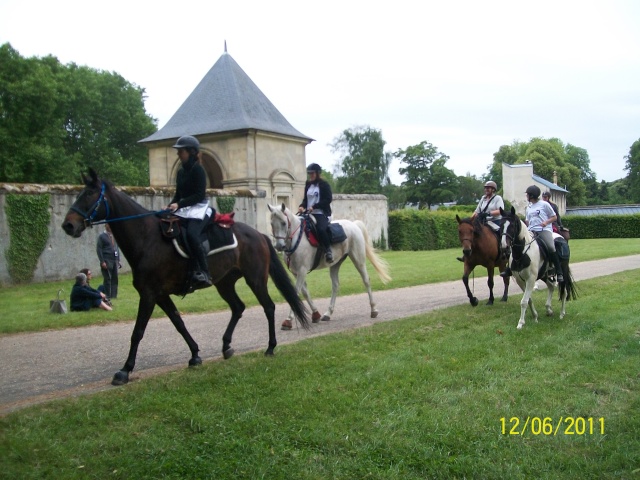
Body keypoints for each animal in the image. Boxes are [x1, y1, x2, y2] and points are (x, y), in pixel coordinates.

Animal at [62, 170, 310, 386]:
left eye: (90, 194)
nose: (68, 225)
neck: (146, 238)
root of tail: (259, 234)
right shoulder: (160, 295)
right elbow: (178, 323)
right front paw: (195, 355)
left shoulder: (149, 294)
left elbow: (138, 332)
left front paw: (125, 370)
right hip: (224, 283)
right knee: (238, 307)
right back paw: (226, 346)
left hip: (255, 279)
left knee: (268, 307)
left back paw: (270, 347)